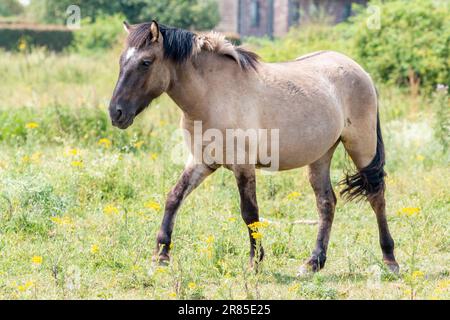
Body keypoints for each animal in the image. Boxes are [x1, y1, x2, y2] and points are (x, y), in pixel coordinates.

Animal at [110, 20, 400, 276]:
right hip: (320, 156)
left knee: (376, 196)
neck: (212, 96)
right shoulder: (201, 161)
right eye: (121, 61)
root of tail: (360, 71)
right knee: (326, 203)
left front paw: (255, 262)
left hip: (362, 146)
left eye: (146, 62)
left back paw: (390, 260)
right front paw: (161, 256)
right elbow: (173, 198)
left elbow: (250, 213)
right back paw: (313, 263)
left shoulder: (243, 165)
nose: (116, 113)